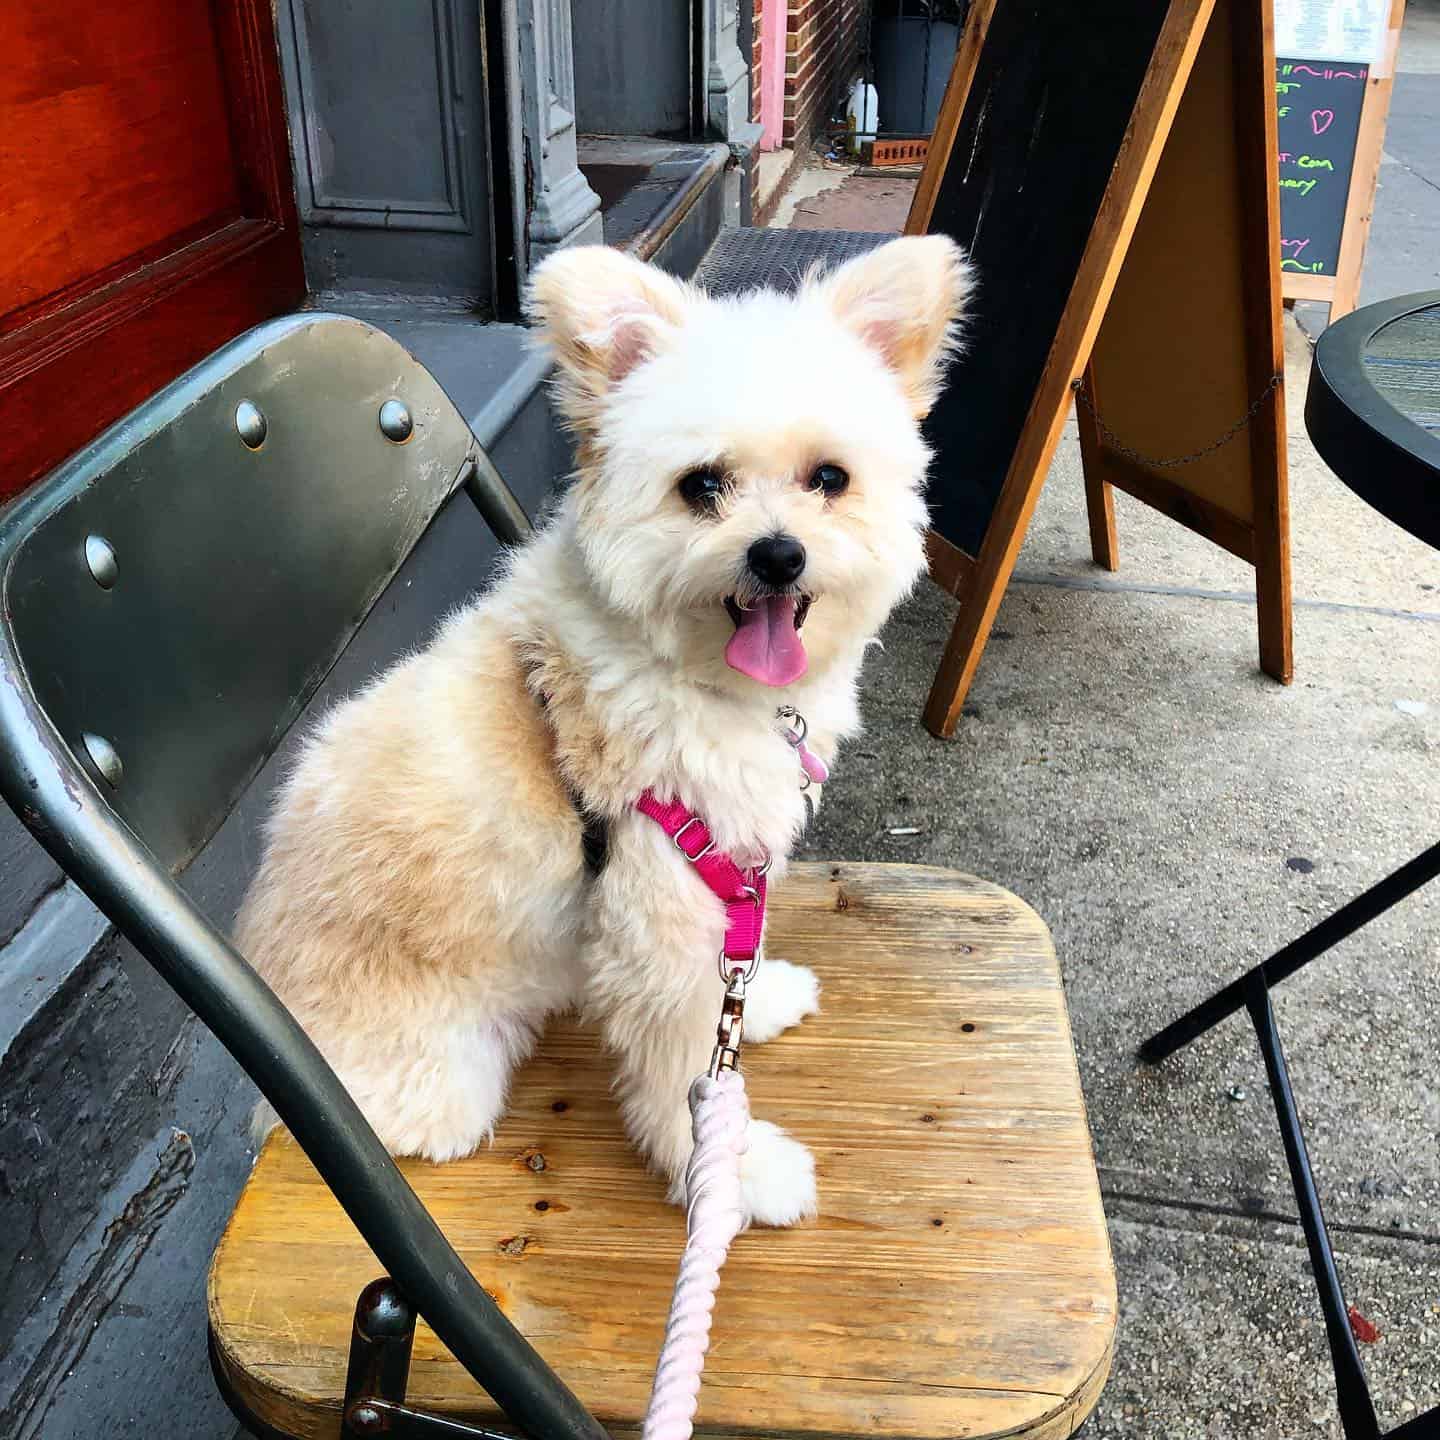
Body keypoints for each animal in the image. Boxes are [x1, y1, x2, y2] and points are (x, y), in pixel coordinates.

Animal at [239, 239, 967, 1226]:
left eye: (829, 479)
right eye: (702, 487)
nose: (779, 554)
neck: (691, 672)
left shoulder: (718, 887)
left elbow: (734, 978)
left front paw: (762, 998)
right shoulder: (660, 914)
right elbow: (690, 1070)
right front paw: (733, 1175)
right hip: (440, 1082)